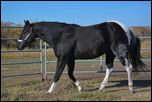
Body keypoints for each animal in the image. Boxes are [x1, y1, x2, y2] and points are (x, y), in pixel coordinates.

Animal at [17, 19, 147, 95]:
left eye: (24, 32)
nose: (19, 46)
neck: (60, 35)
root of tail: (126, 28)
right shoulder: (70, 59)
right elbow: (70, 74)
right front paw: (80, 89)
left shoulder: (63, 58)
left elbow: (57, 75)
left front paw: (49, 92)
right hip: (109, 54)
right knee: (109, 69)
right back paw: (101, 88)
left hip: (119, 53)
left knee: (128, 67)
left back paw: (131, 89)